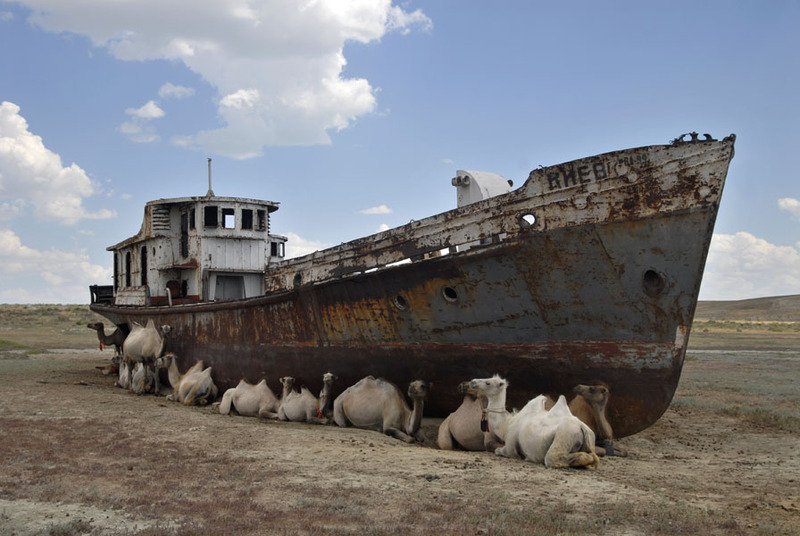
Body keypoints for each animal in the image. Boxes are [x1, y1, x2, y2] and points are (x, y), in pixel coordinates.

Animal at [468, 376, 600, 468]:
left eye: (488, 382)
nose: (472, 382)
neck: (506, 424)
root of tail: (582, 427)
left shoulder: (510, 446)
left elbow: (499, 451)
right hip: (589, 437)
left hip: (565, 435)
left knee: (552, 458)